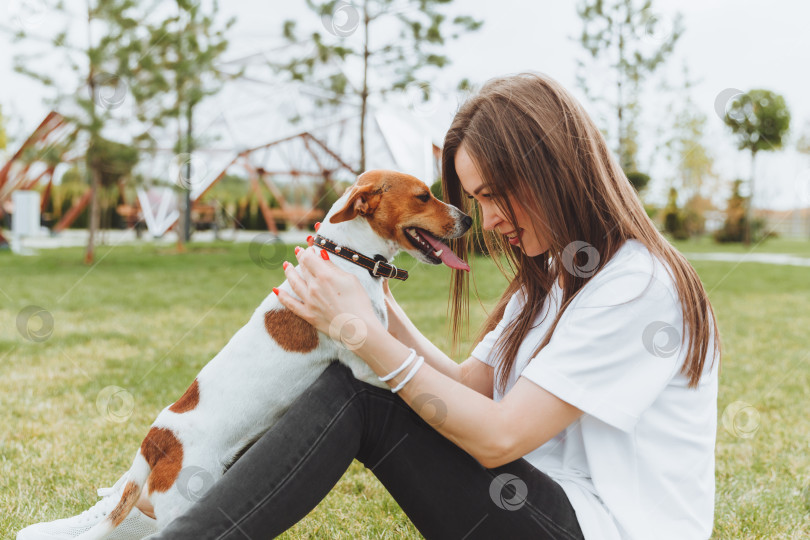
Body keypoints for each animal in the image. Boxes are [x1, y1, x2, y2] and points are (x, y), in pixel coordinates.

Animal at [70, 168, 474, 536]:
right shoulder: (367, 369)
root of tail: (156, 438)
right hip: (186, 499)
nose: (469, 219)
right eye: (423, 196)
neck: (349, 257)